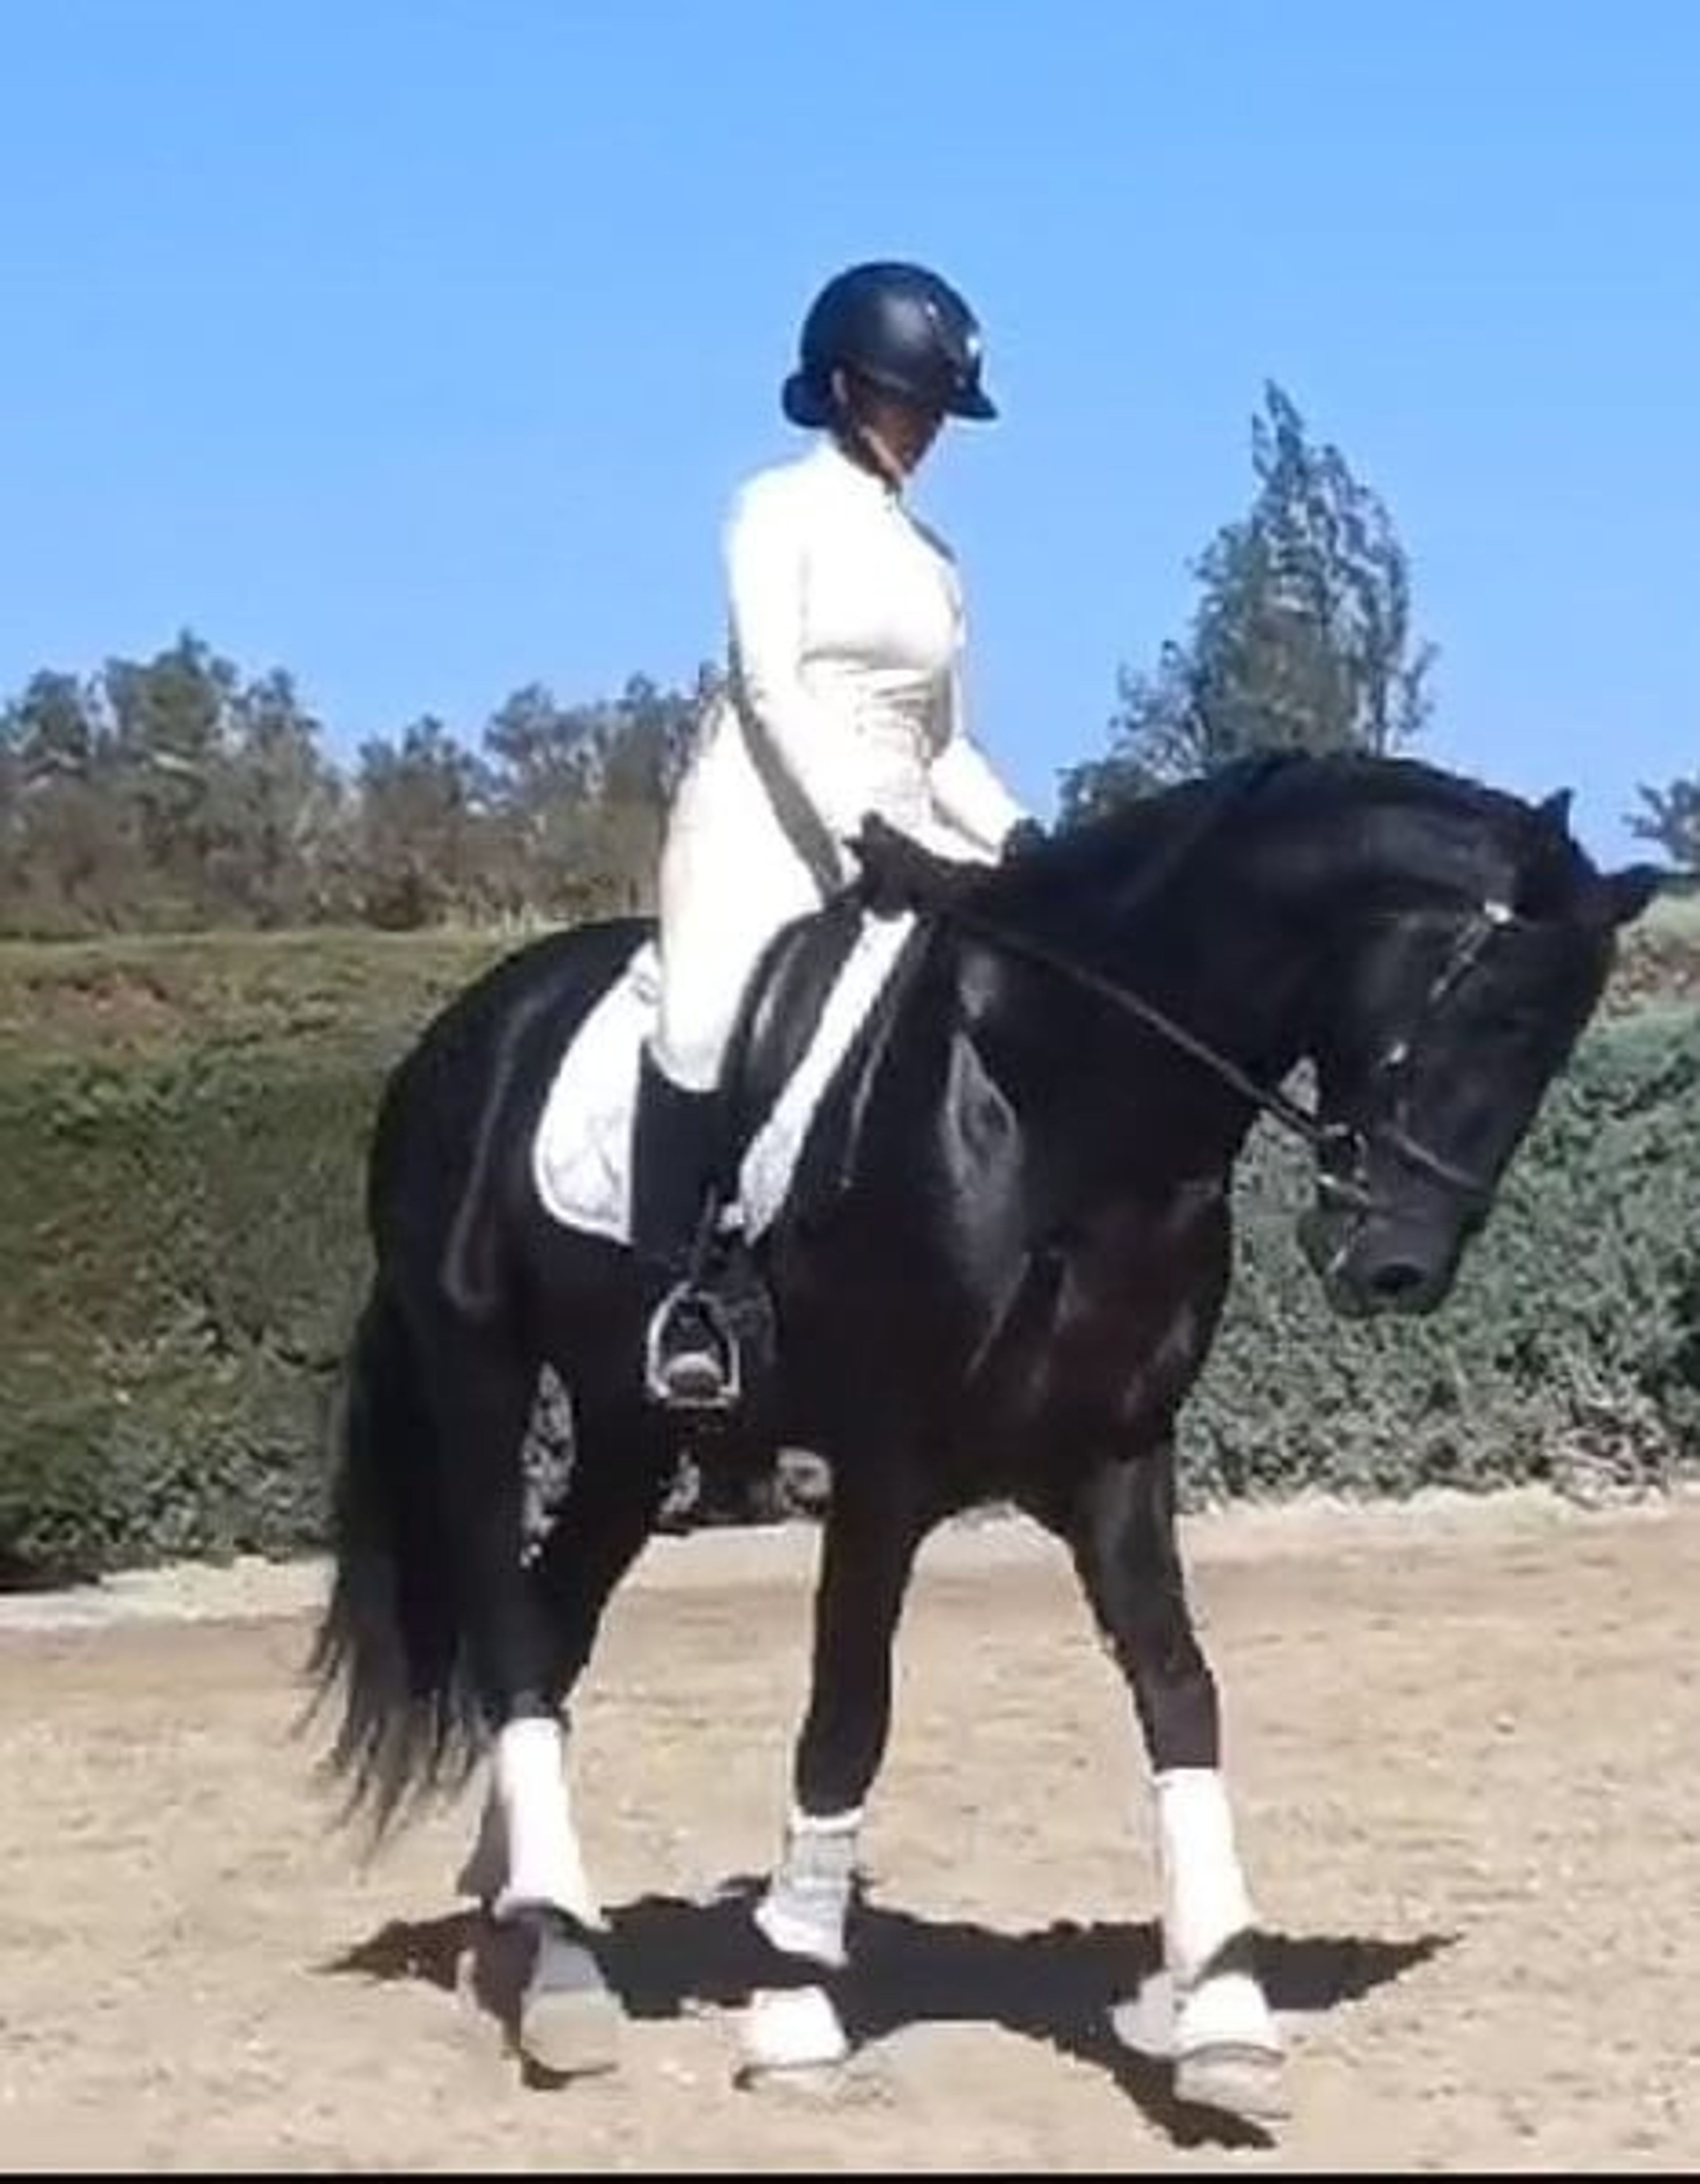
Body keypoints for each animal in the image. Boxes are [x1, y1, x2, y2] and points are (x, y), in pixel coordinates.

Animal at [305, 747, 1659, 2130]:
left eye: (1549, 1041)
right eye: (1493, 1013)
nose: (1396, 1271)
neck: (1052, 1091)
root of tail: (471, 1026)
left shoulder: (1118, 1455)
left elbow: (1181, 1692)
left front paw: (1227, 2014)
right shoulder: (884, 1466)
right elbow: (848, 1708)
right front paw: (795, 2005)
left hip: (633, 1431)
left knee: (556, 1623)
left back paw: (535, 1926)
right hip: (480, 1379)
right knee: (512, 1633)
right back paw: (562, 1957)